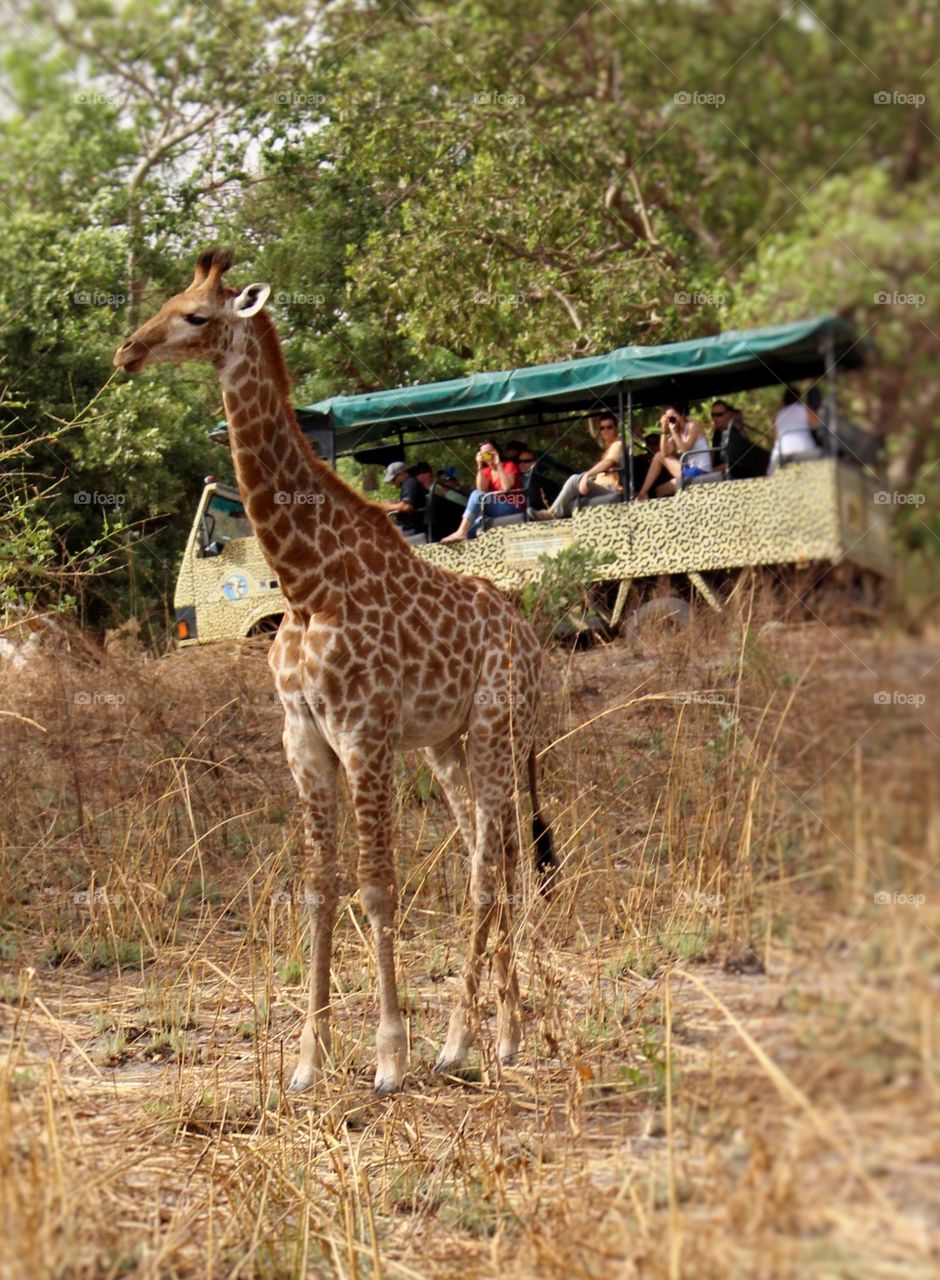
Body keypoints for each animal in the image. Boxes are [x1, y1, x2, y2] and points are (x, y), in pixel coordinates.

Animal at [117, 247, 558, 1090]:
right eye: (168, 301)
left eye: (195, 314)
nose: (127, 351)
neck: (305, 582)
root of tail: (530, 636)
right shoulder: (303, 738)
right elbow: (320, 889)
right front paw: (307, 1061)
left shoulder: (365, 734)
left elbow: (378, 886)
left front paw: (389, 1057)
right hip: (449, 745)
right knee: (494, 857)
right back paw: (503, 1036)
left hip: (496, 730)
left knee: (491, 870)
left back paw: (464, 1041)